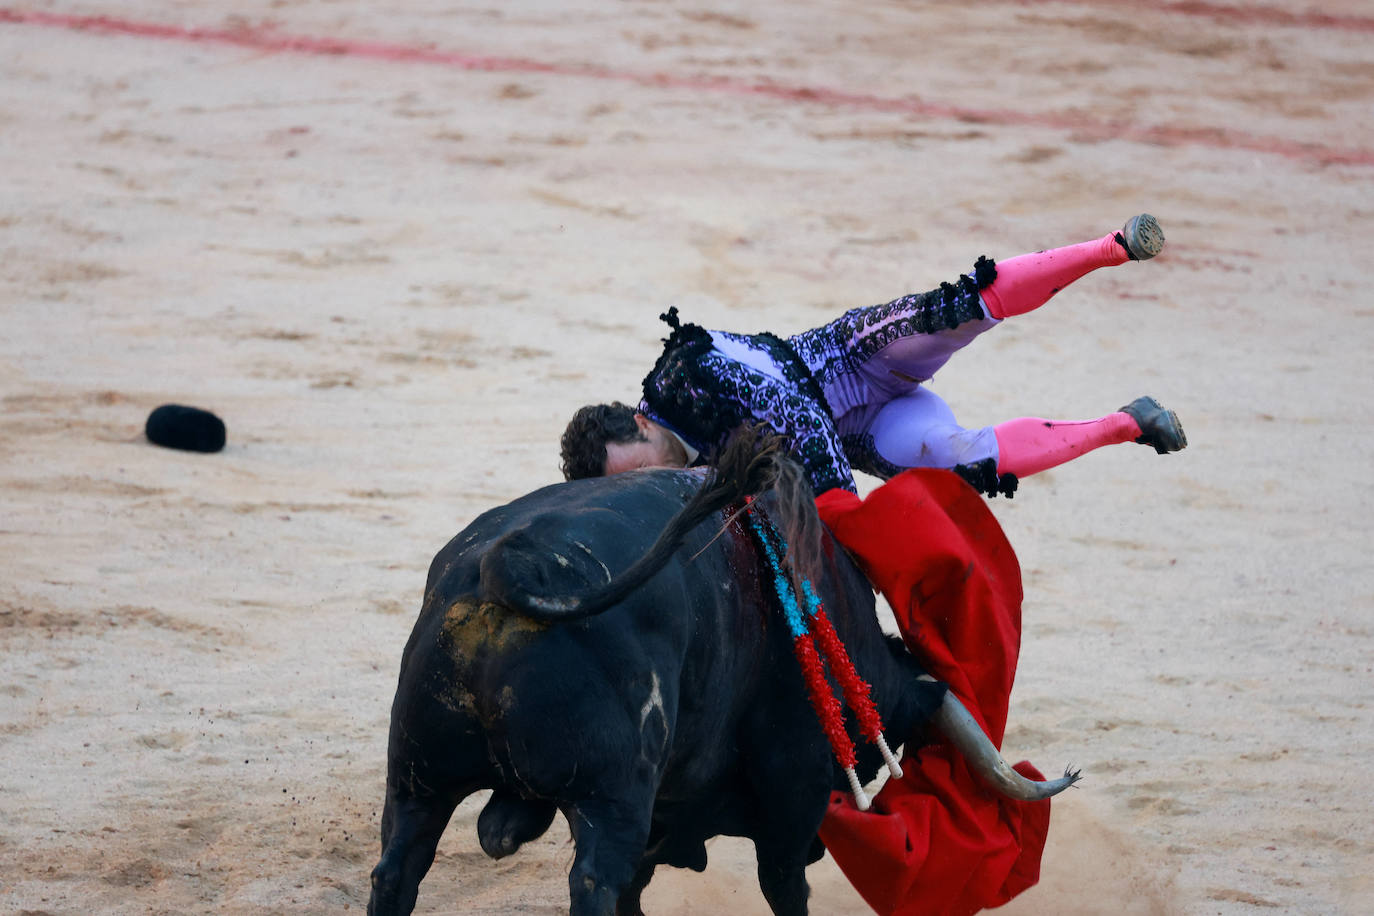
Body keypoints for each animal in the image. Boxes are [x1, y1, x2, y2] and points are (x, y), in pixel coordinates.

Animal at [368, 461, 1071, 911]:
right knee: (594, 883)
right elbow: (782, 883)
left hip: (416, 779)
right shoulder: (794, 787)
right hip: (612, 798)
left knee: (398, 871)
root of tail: (510, 565)